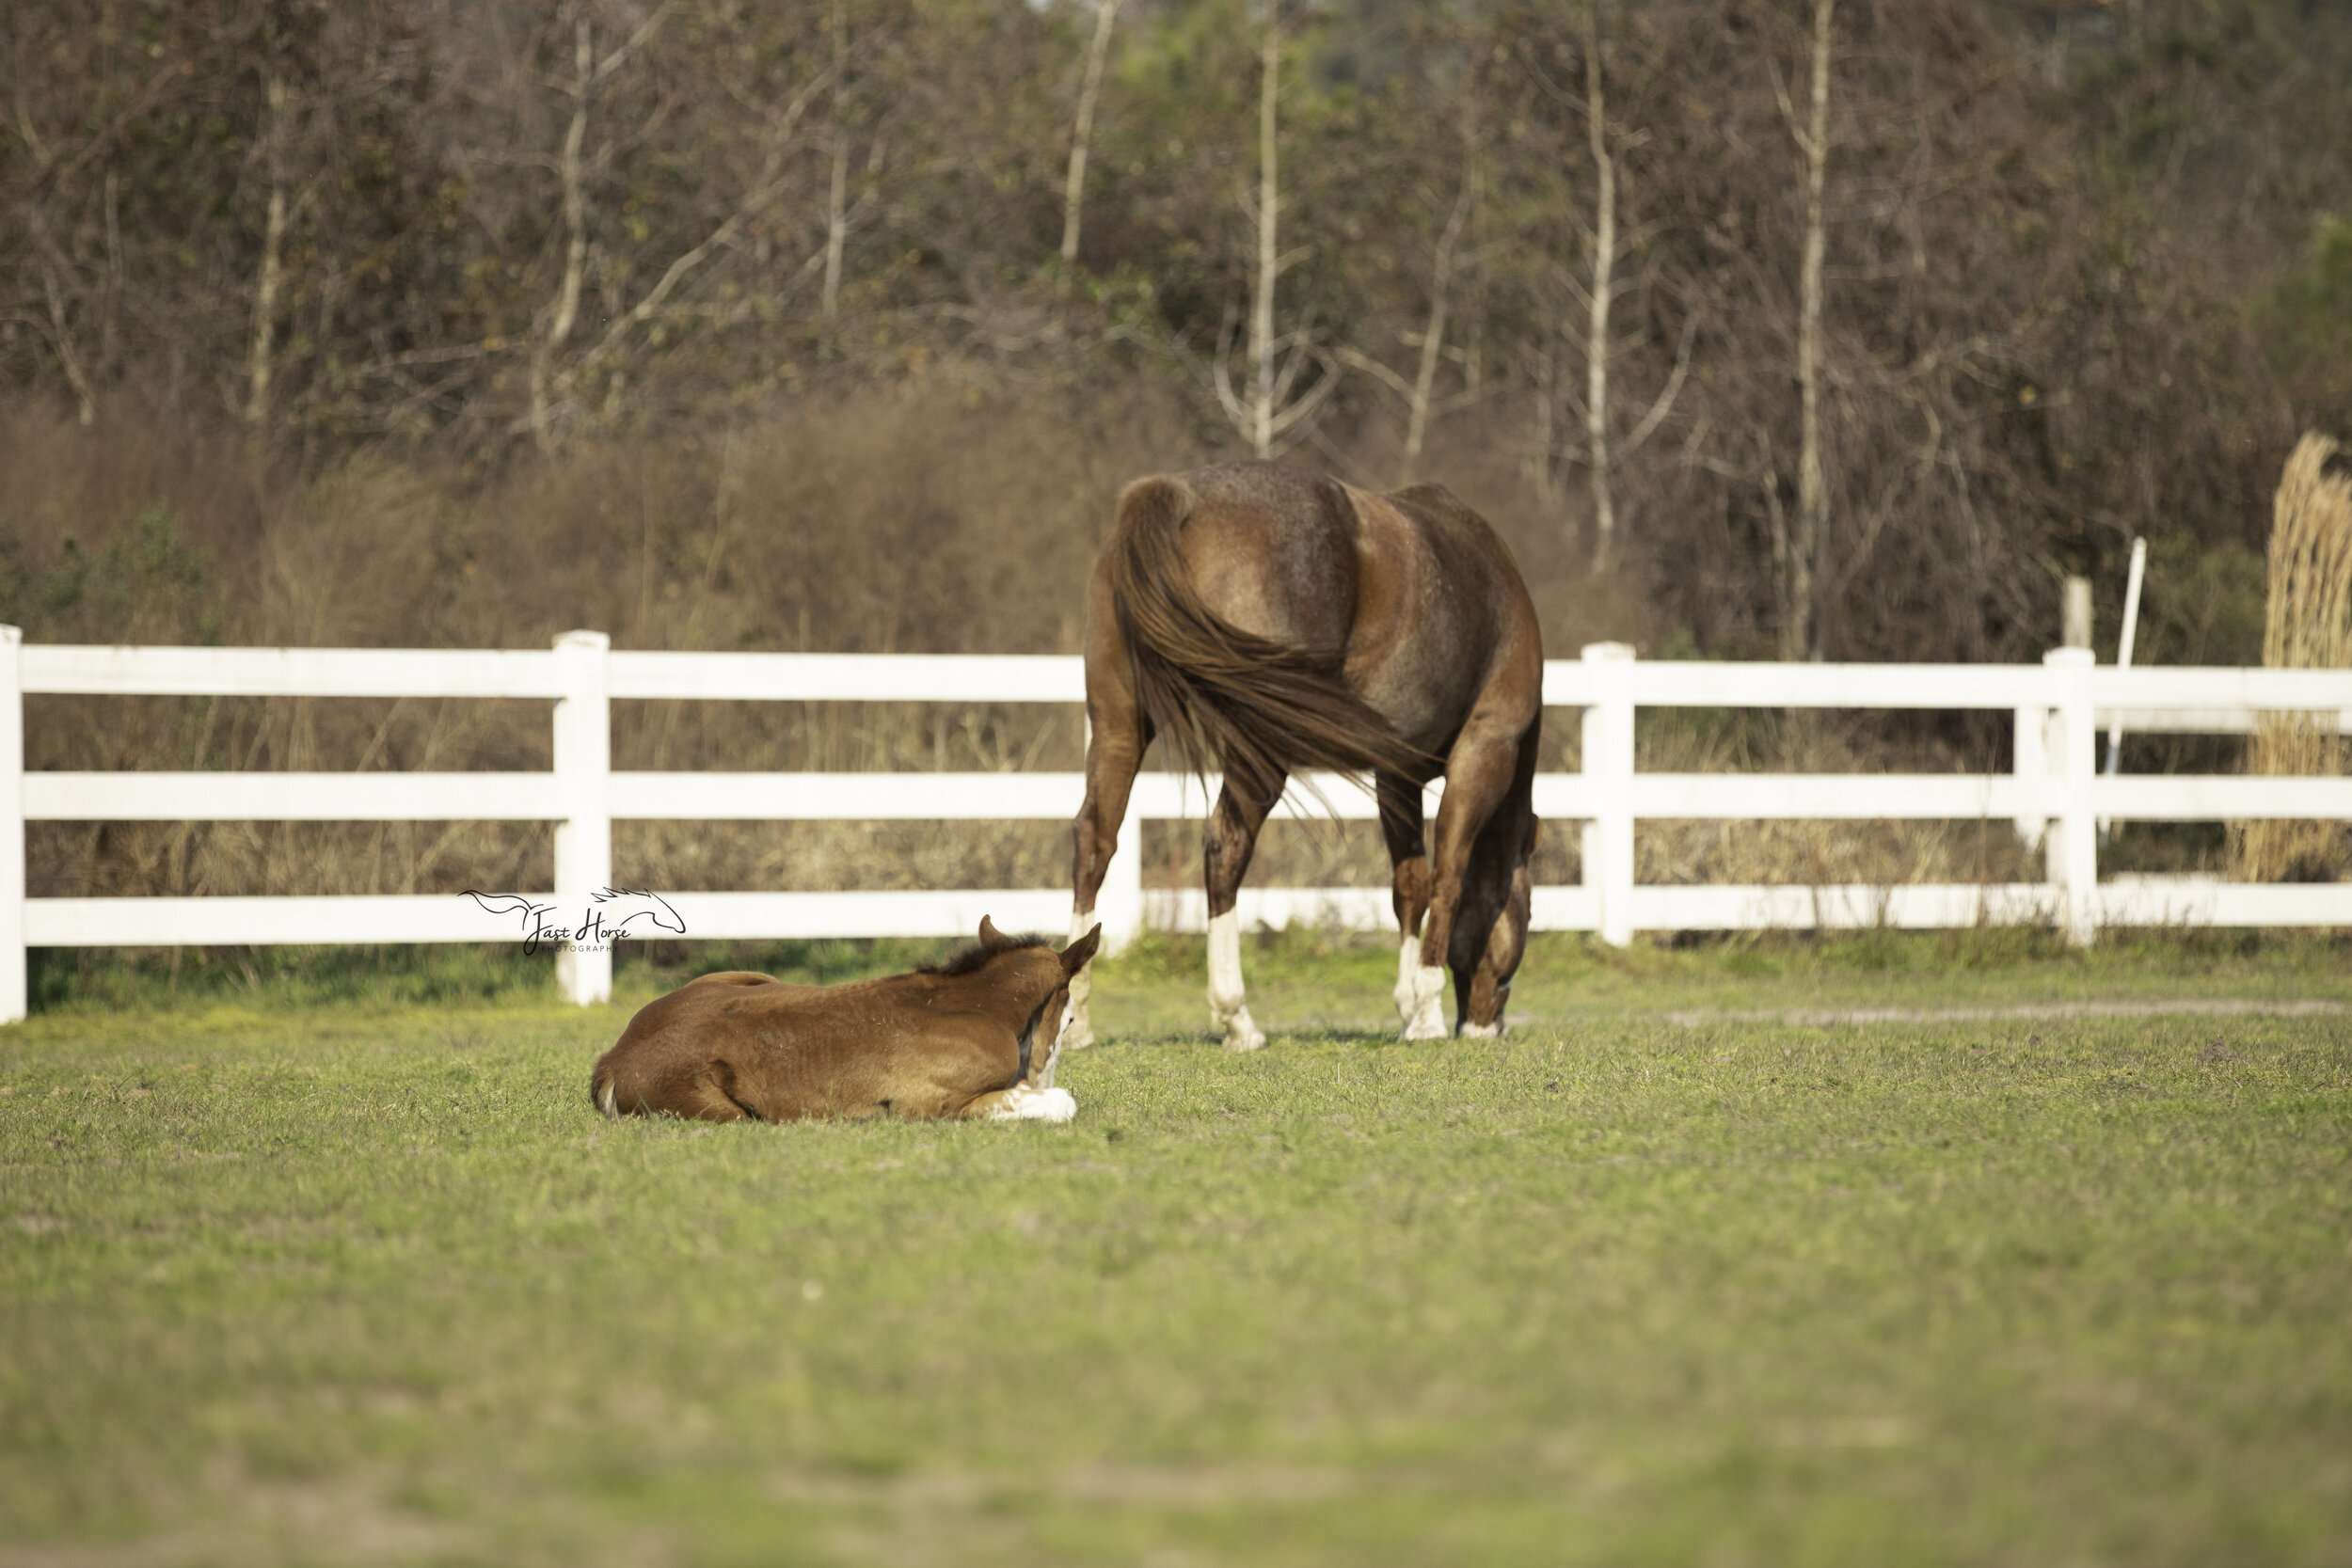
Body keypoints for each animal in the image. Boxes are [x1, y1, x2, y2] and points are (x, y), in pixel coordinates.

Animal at [588, 921, 1101, 1128]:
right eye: (1071, 1017)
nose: (1038, 1075)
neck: (971, 1005)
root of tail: (615, 1057)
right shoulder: (935, 1105)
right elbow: (1063, 1103)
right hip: (727, 1113)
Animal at [1068, 465, 1543, 1053]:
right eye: (1528, 910)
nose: (1486, 1024)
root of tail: (1178, 493)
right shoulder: (1483, 753)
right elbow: (1448, 879)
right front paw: (1427, 1014)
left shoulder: (1395, 774)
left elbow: (1409, 886)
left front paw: (1408, 1004)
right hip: (1259, 747)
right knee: (1225, 847)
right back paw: (1238, 1019)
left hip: (1117, 727)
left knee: (1096, 840)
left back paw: (1077, 1016)